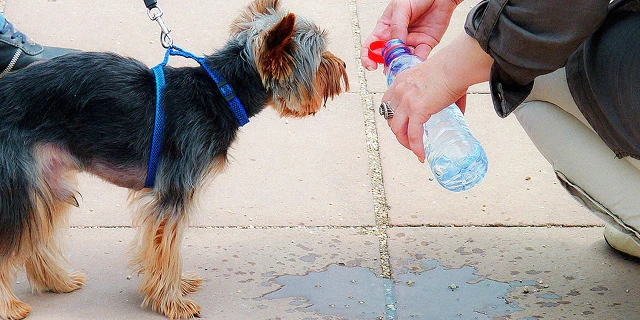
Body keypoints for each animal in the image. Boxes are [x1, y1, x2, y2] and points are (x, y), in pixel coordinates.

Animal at [0, 1, 348, 318]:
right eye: (320, 60)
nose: (343, 66)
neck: (221, 91)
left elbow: (162, 250)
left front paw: (176, 288)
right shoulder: (174, 194)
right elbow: (167, 248)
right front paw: (173, 302)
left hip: (47, 178)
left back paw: (57, 281)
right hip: (19, 178)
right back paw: (10, 306)